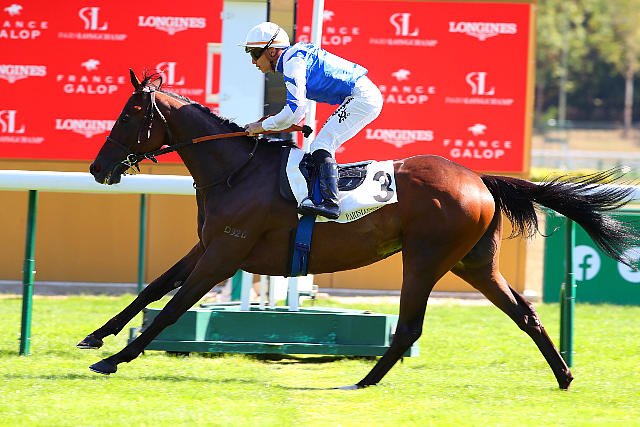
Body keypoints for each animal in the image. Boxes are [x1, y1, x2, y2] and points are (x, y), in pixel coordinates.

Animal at [80, 70, 639, 390]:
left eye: (129, 114)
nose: (97, 168)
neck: (235, 168)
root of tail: (479, 178)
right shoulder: (210, 245)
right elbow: (153, 288)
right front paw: (95, 337)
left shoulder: (226, 252)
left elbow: (173, 307)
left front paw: (117, 359)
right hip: (474, 263)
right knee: (525, 314)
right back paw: (564, 375)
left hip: (426, 259)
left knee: (410, 326)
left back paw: (364, 381)